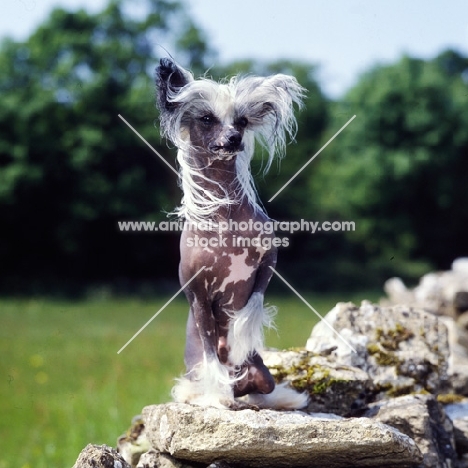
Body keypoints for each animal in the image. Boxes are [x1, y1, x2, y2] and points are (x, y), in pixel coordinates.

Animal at [155, 58, 308, 410]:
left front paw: (240, 335)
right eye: (207, 118)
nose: (235, 137)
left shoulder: (269, 260)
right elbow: (211, 346)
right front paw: (217, 391)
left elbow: (253, 303)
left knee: (262, 384)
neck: (225, 220)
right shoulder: (196, 292)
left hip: (263, 376)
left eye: (242, 121)